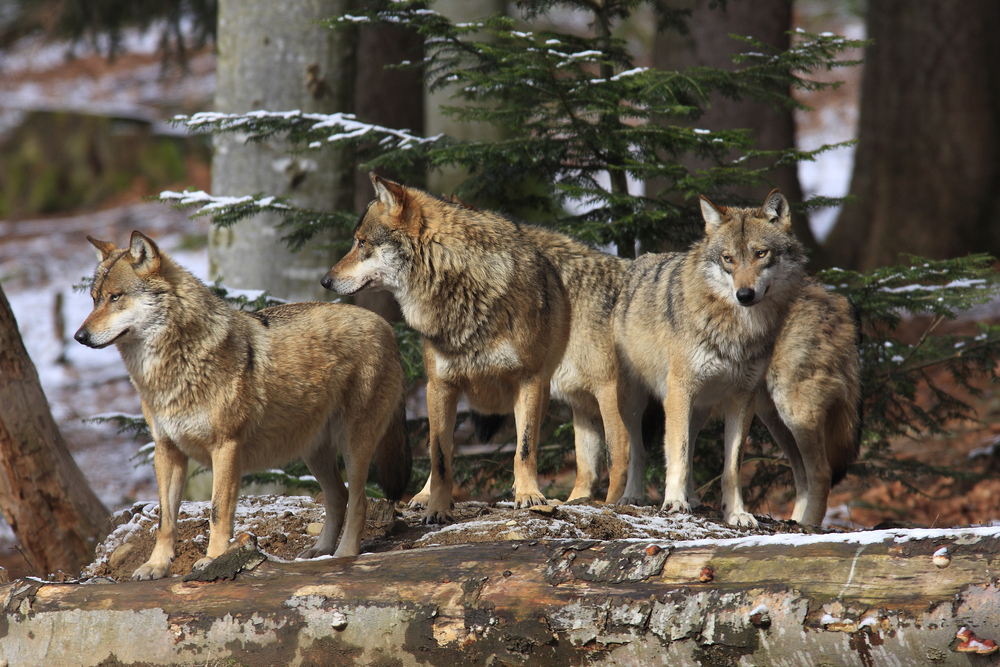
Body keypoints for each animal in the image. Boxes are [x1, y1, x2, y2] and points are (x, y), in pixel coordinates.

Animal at [75, 231, 410, 580]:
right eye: (94, 299)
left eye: (116, 297)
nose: (79, 336)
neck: (172, 370)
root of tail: (387, 326)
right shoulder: (167, 450)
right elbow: (166, 519)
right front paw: (157, 565)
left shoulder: (226, 447)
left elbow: (217, 511)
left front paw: (213, 559)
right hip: (313, 452)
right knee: (338, 496)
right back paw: (320, 551)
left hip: (354, 446)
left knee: (359, 500)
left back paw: (345, 554)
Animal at [321, 174, 570, 523]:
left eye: (360, 243)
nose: (325, 281)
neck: (465, 292)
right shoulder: (439, 384)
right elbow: (439, 456)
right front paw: (437, 507)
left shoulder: (529, 381)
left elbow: (524, 447)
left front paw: (529, 494)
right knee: (441, 448)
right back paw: (424, 496)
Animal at [613, 190, 806, 526]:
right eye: (728, 258)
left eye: (760, 254)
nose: (745, 295)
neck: (737, 330)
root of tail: (637, 263)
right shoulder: (680, 390)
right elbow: (676, 454)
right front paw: (674, 502)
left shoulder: (743, 397)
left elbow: (730, 466)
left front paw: (736, 512)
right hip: (637, 403)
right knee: (639, 450)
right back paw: (633, 496)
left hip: (699, 409)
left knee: (689, 447)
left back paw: (692, 498)